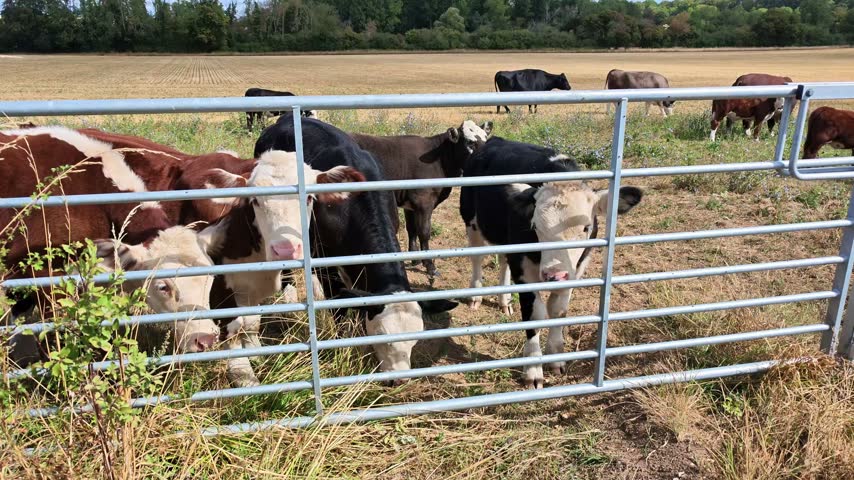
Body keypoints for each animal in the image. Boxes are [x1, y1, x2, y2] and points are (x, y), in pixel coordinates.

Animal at [351, 120, 493, 281]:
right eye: (470, 142)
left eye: (486, 138)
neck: (440, 159)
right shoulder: (423, 202)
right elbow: (424, 232)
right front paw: (430, 266)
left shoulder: (409, 204)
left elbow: (411, 229)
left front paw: (415, 258)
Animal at [460, 137, 643, 388]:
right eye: (535, 225)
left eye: (586, 227)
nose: (554, 275)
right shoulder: (525, 273)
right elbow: (534, 316)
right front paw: (533, 371)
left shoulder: (574, 271)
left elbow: (558, 310)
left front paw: (556, 358)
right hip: (471, 221)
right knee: (477, 258)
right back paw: (476, 296)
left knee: (502, 260)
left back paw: (505, 301)